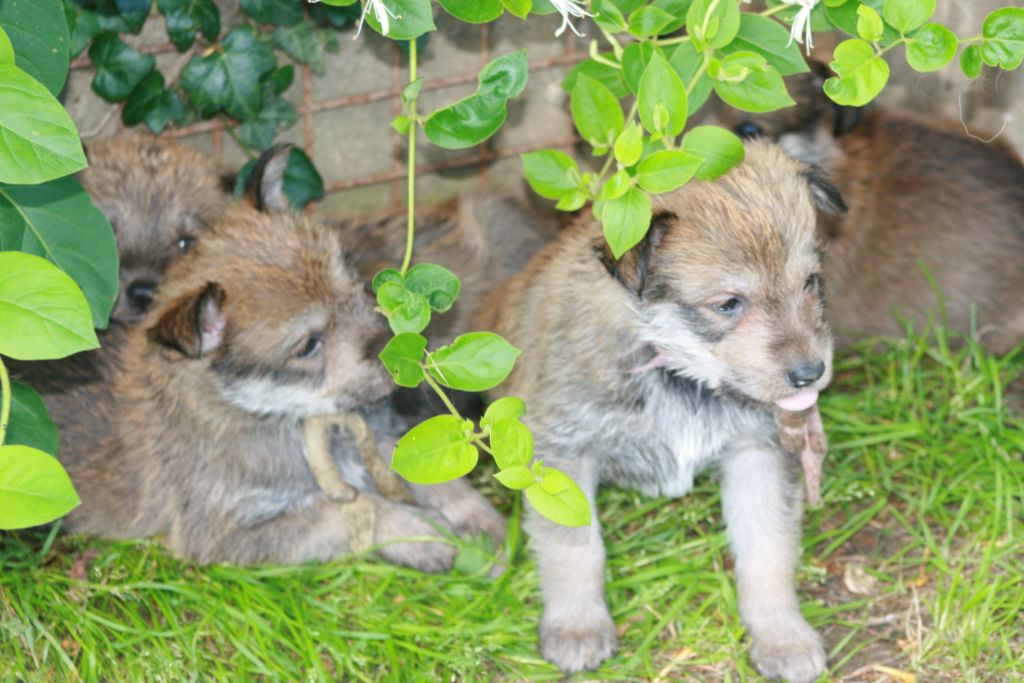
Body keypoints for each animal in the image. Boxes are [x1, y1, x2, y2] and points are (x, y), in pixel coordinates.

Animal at [47, 147, 503, 569]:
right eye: (308, 346)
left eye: (353, 280)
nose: (406, 349)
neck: (276, 414)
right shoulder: (228, 531)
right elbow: (344, 510)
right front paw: (420, 534)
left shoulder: (377, 438)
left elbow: (428, 470)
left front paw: (478, 521)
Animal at [479, 141, 847, 679]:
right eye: (728, 304)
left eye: (811, 282)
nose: (810, 372)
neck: (676, 371)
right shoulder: (562, 454)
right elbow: (575, 547)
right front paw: (577, 627)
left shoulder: (758, 453)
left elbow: (767, 549)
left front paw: (782, 635)